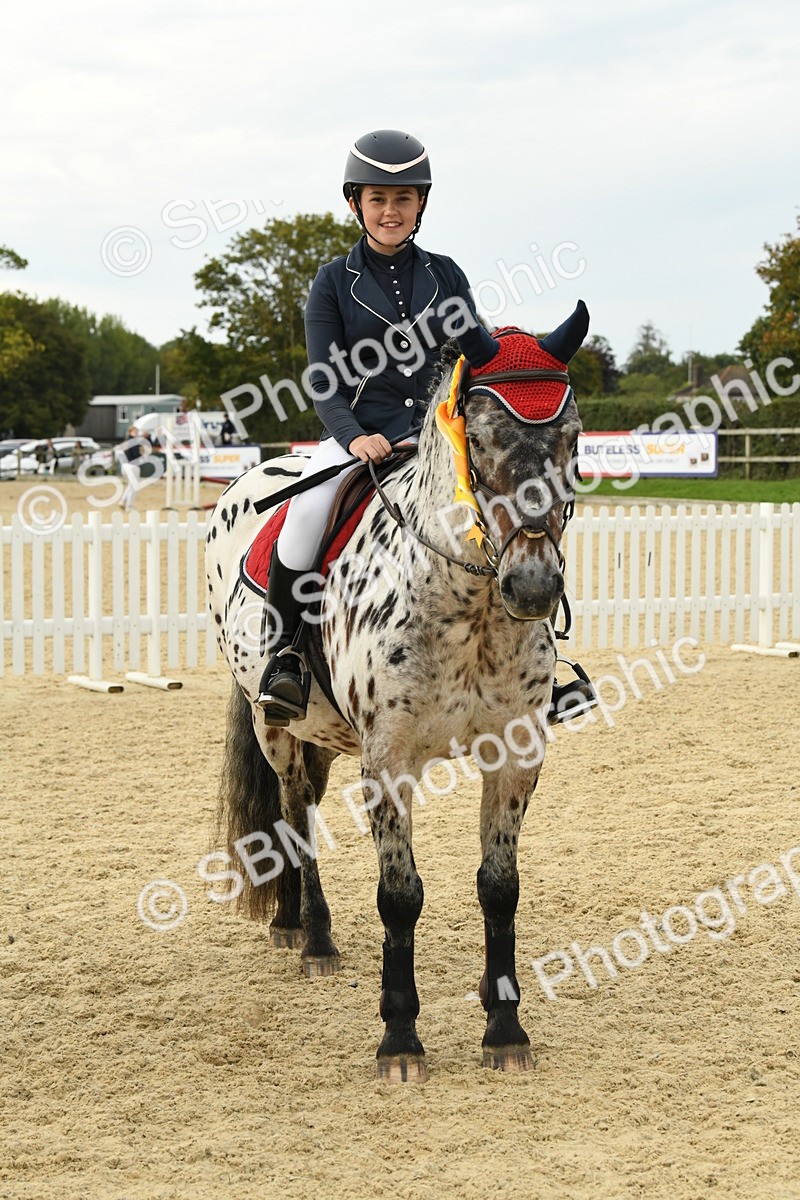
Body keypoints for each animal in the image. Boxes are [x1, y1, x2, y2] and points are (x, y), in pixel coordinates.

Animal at [204, 301, 588, 1082]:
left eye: (571, 437)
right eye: (480, 439)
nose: (534, 587)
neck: (471, 605)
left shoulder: (516, 755)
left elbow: (500, 885)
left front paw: (504, 1025)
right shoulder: (389, 761)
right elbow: (399, 896)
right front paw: (401, 1037)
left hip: (324, 737)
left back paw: (290, 921)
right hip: (276, 727)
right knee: (294, 814)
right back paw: (313, 938)